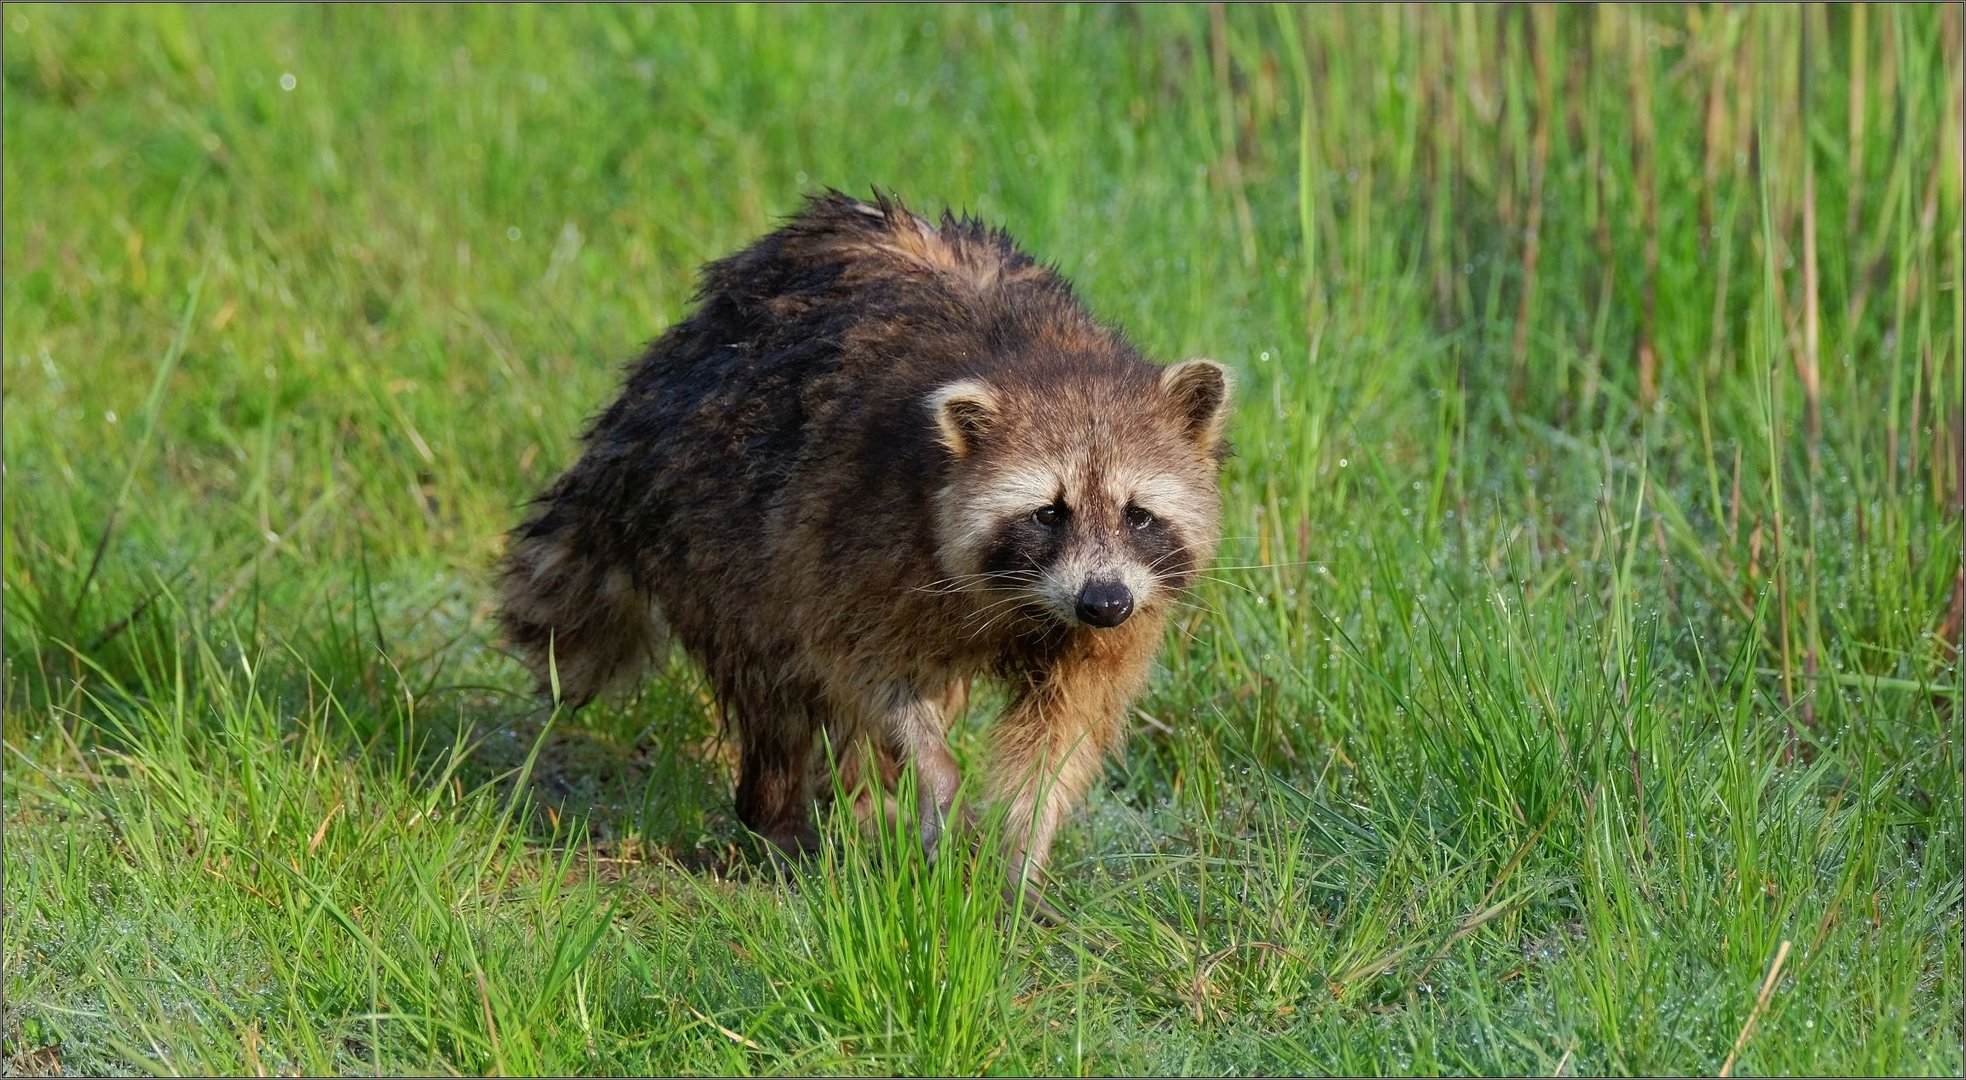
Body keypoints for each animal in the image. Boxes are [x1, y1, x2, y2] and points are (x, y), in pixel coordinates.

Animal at [499, 193, 1218, 908]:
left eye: (1138, 515)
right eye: (1049, 513)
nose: (1104, 603)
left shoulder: (1124, 609)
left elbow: (1064, 731)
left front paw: (1022, 853)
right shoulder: (853, 526)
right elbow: (863, 667)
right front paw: (937, 776)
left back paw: (864, 807)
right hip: (715, 535)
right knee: (778, 693)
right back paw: (783, 821)